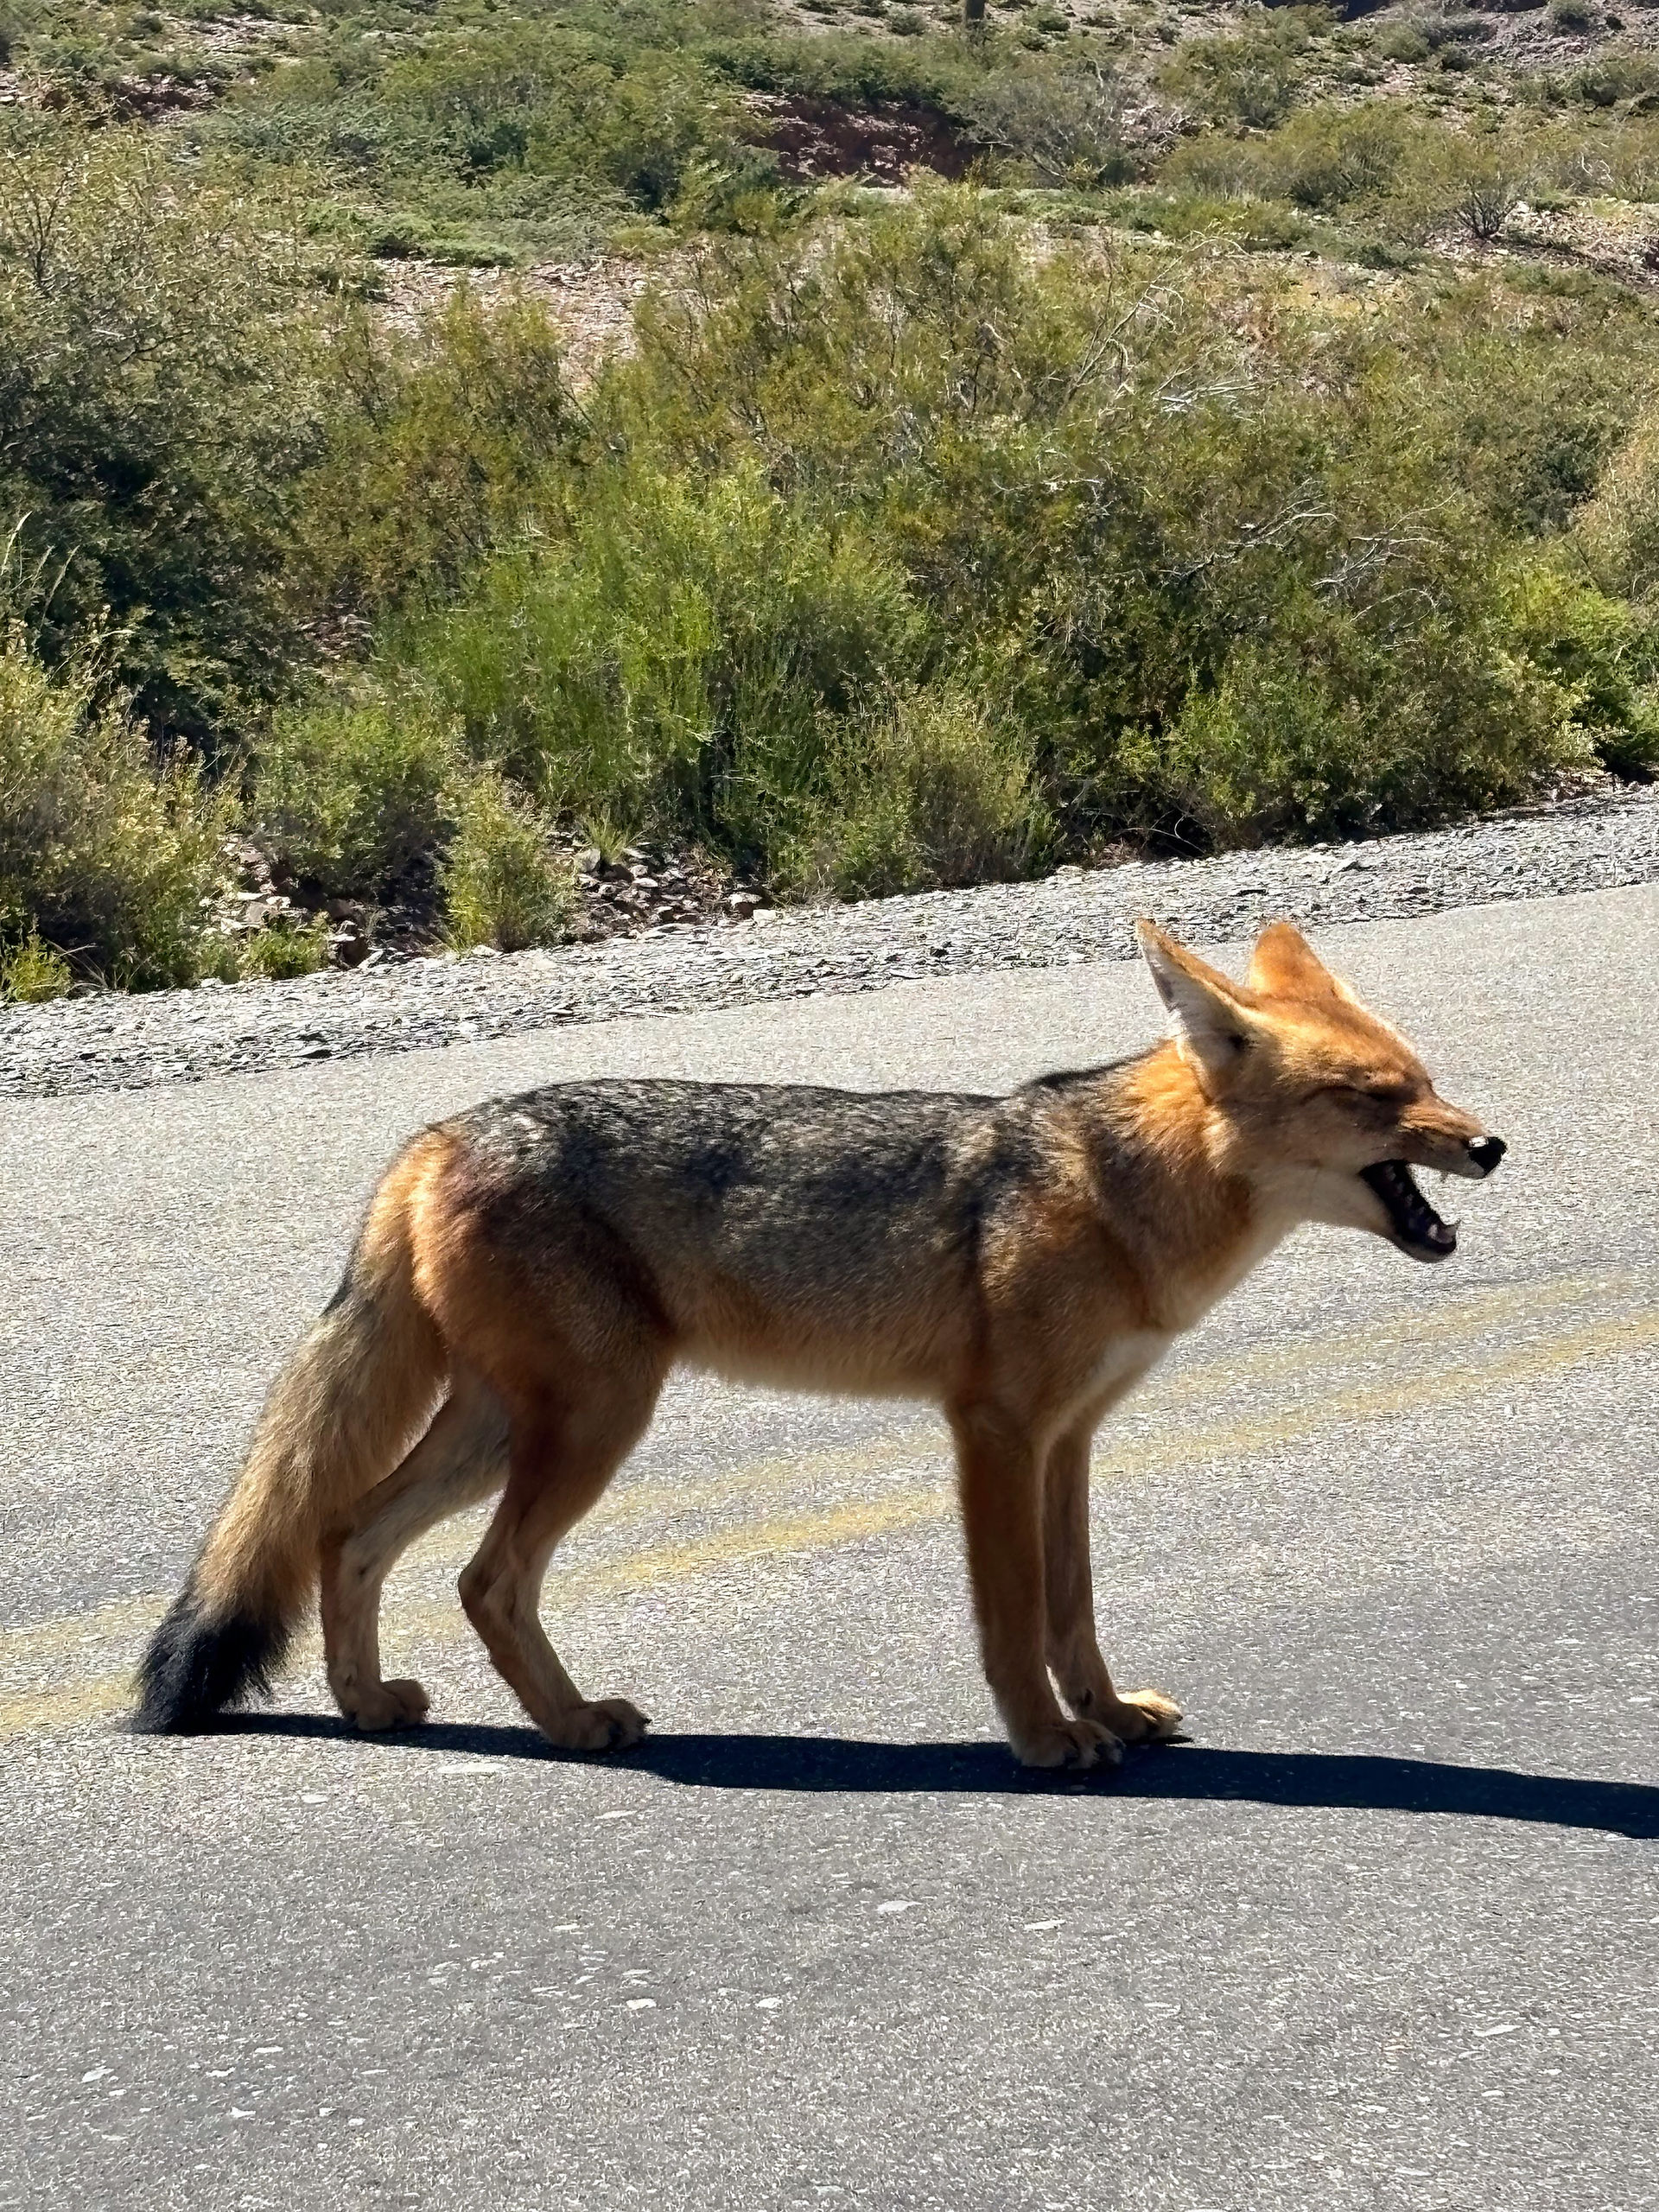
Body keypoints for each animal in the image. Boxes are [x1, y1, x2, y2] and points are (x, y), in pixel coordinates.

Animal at [133, 919, 1505, 1770]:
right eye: (1377, 1100)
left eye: (1427, 1080)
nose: (1493, 1145)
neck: (1120, 1194)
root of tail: (440, 1131)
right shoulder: (993, 1432)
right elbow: (1013, 1616)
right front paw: (1047, 1744)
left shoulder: (1069, 1439)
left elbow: (1074, 1610)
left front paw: (1108, 1712)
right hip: (590, 1427)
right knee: (482, 1579)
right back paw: (574, 1724)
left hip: (502, 1429)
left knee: (343, 1535)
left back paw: (372, 1706)